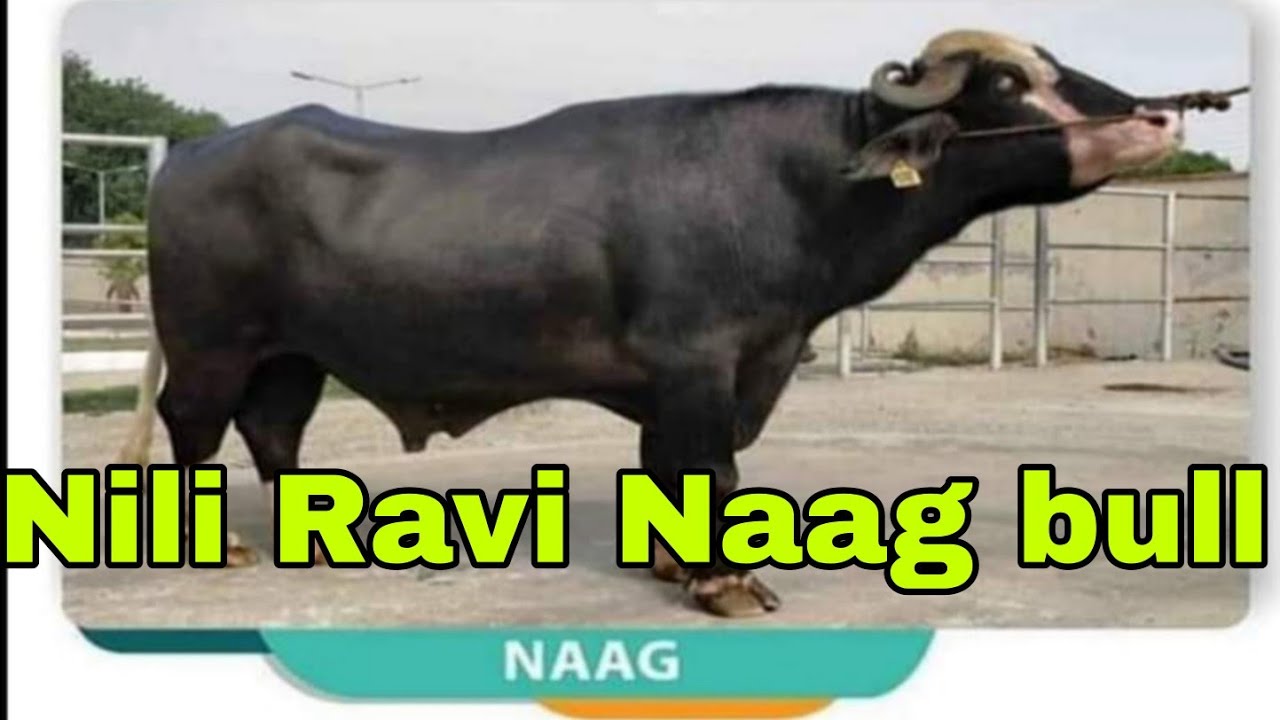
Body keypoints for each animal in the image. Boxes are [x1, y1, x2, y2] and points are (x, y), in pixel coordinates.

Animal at [116, 29, 1183, 617]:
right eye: (1007, 84)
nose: (1158, 117)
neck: (799, 186)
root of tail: (191, 156)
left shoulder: (732, 366)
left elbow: (673, 468)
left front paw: (677, 564)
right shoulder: (699, 362)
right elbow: (708, 466)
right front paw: (723, 583)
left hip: (295, 352)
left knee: (273, 428)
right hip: (214, 346)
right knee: (194, 427)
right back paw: (220, 543)